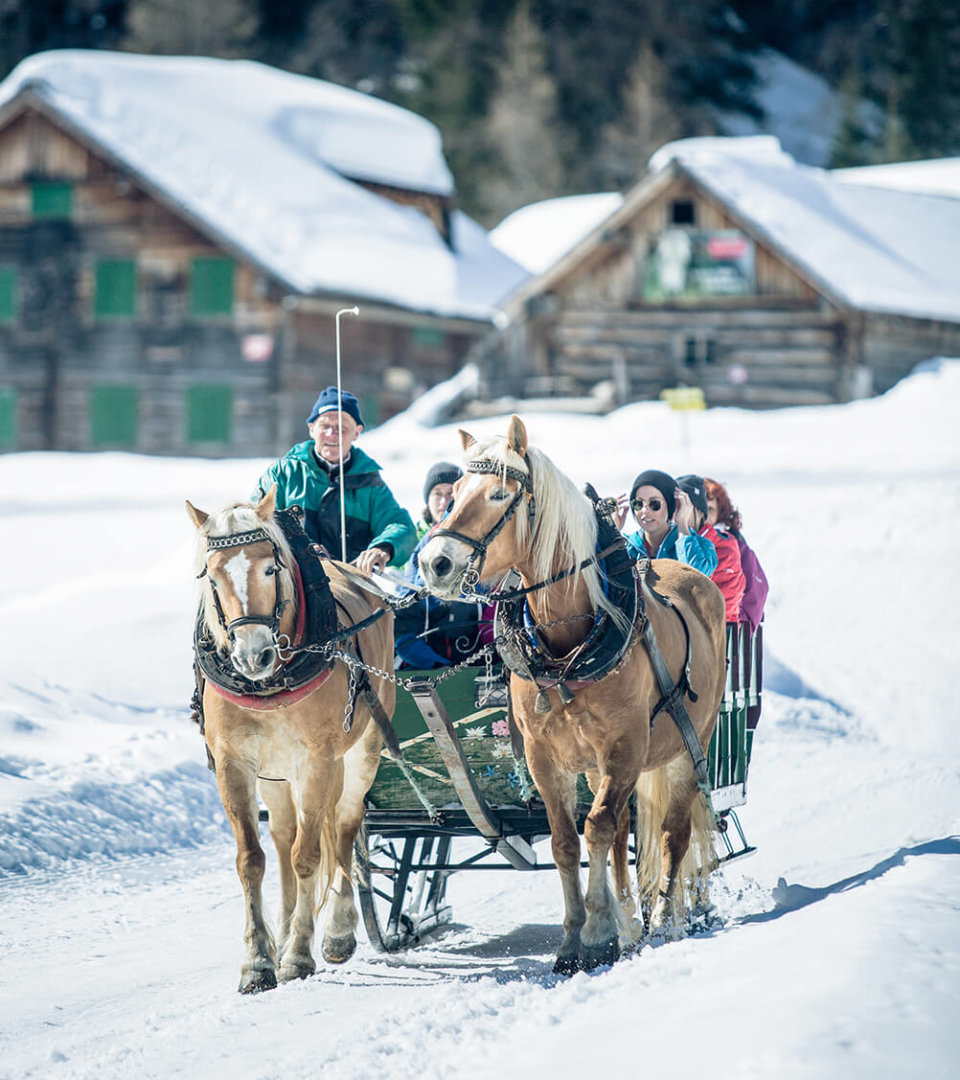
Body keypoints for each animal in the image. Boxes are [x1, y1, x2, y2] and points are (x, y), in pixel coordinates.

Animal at [183, 486, 393, 989]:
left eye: (270, 568)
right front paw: (259, 960)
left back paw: (336, 931)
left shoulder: (318, 760)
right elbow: (251, 859)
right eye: (212, 577)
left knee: (343, 827)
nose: (252, 655)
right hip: (276, 776)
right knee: (282, 837)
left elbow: (308, 855)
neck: (271, 684)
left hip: (361, 751)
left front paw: (299, 953)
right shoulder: (233, 764)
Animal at [416, 416, 721, 976]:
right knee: (624, 830)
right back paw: (632, 921)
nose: (433, 563)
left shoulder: (624, 750)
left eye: (498, 493)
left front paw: (599, 935)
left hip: (686, 749)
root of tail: (683, 570)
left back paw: (666, 921)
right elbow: (565, 841)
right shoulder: (545, 757)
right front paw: (576, 938)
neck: (566, 649)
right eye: (455, 492)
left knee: (672, 833)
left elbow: (596, 828)